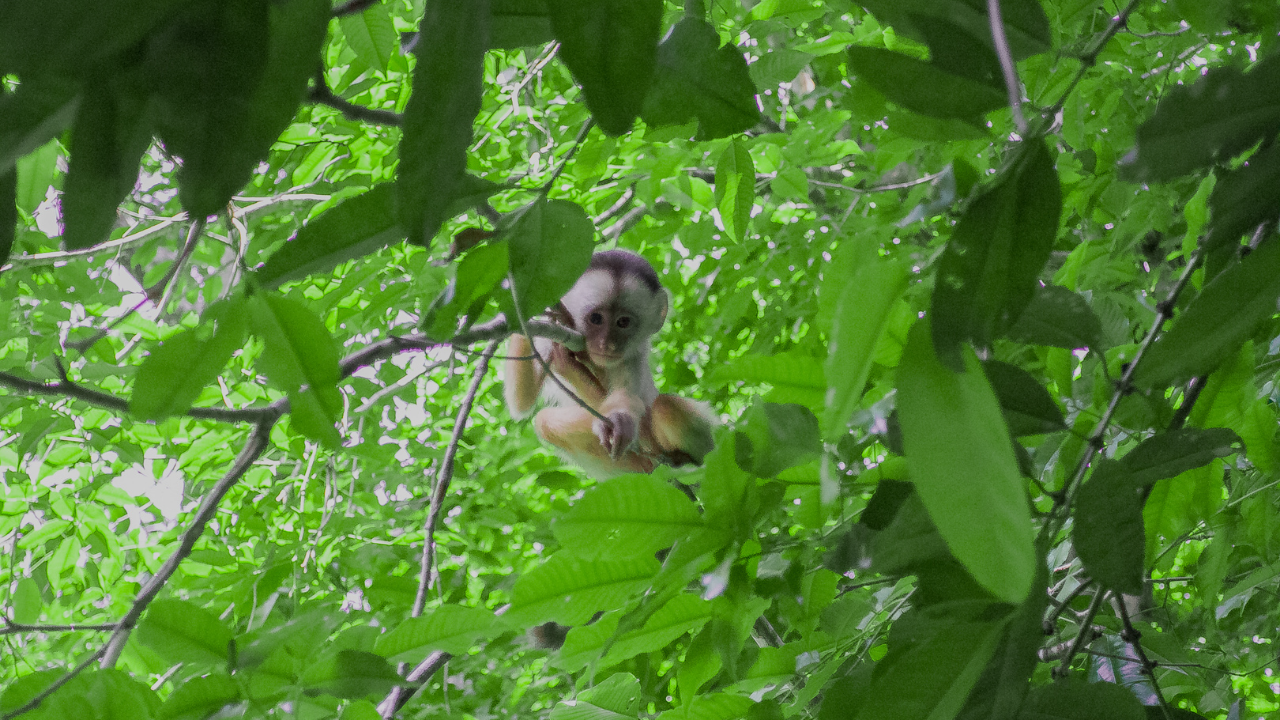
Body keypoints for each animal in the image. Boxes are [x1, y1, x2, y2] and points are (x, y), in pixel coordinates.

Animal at [501, 245, 721, 476]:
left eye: (623, 322)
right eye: (596, 319)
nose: (607, 345)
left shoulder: (634, 352)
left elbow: (625, 396)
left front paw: (619, 418)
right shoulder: (551, 332)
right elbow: (522, 401)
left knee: (666, 406)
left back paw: (685, 462)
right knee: (545, 422)